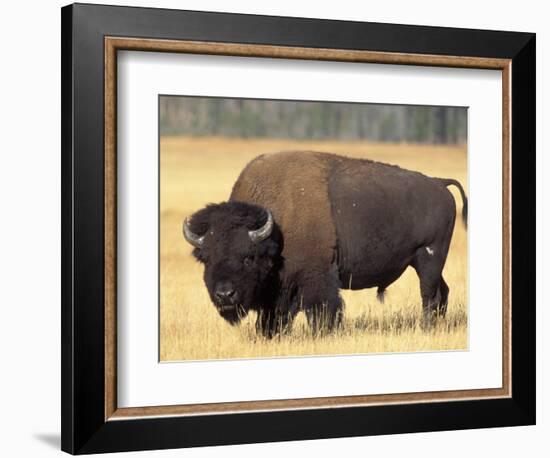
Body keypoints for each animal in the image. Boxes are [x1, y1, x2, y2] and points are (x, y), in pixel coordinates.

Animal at [183, 150, 468, 336]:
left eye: (247, 257)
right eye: (206, 259)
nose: (224, 294)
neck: (277, 225)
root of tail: (439, 184)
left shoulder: (316, 277)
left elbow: (321, 310)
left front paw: (323, 333)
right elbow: (275, 316)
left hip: (429, 257)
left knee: (429, 294)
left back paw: (426, 328)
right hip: (424, 262)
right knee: (442, 292)